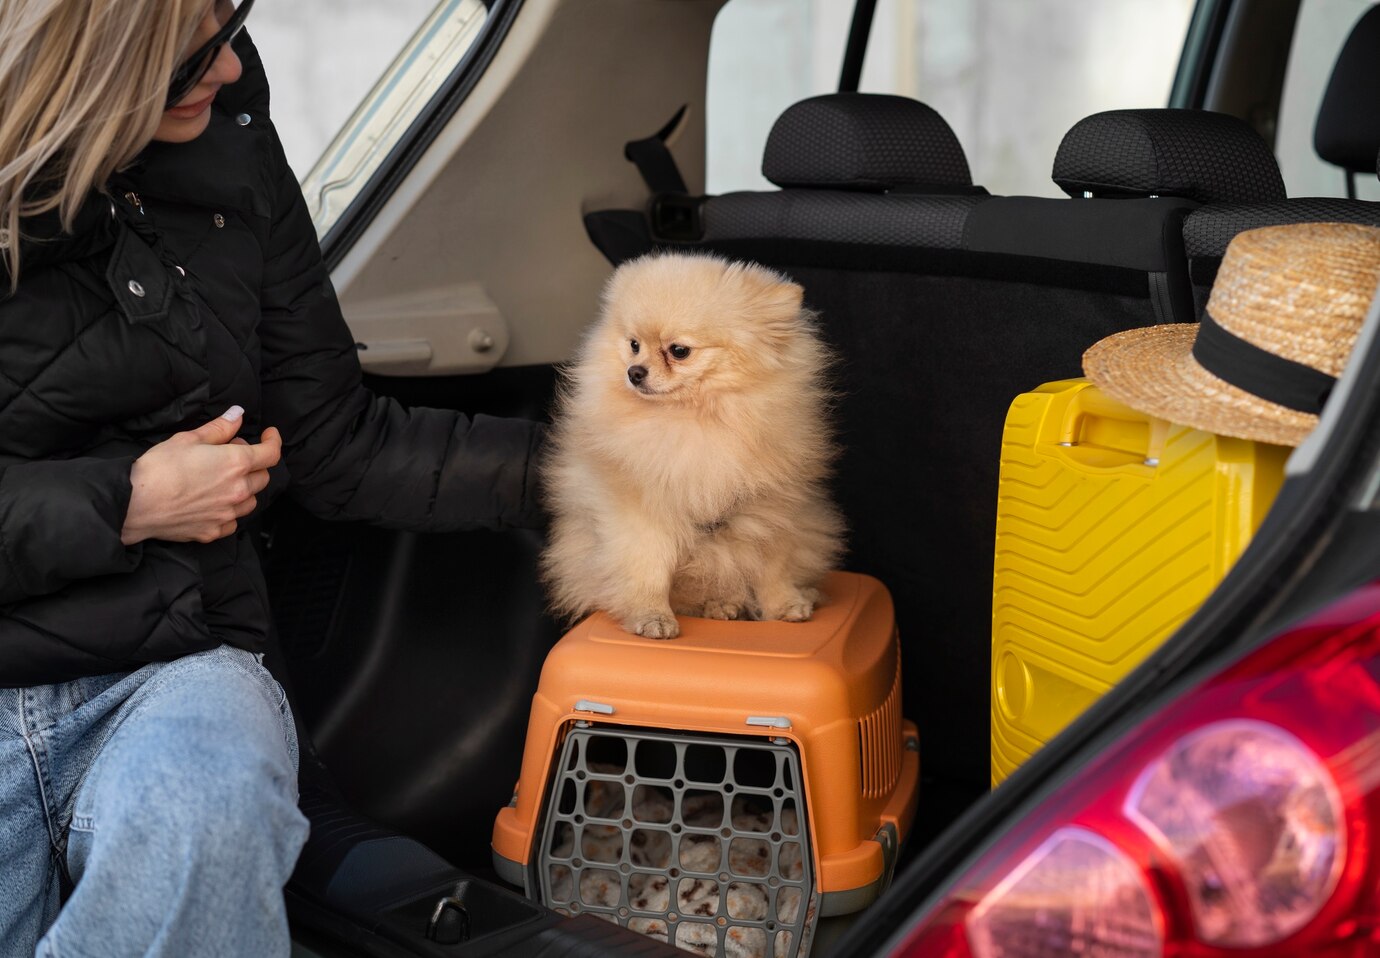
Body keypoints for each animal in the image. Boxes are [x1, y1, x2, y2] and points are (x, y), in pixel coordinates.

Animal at [535, 255, 839, 640]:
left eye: (679, 351)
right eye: (634, 344)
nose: (634, 372)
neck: (697, 419)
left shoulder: (772, 509)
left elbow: (773, 566)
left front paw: (784, 604)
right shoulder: (643, 514)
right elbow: (648, 571)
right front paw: (652, 616)